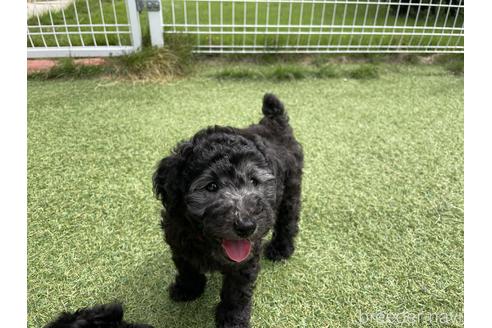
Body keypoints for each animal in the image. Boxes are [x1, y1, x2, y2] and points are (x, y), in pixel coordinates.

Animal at [152, 93, 304, 326]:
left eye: (254, 181)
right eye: (211, 186)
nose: (246, 226)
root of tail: (274, 124)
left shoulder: (246, 256)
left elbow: (237, 289)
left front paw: (233, 318)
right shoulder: (177, 236)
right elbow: (186, 266)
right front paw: (187, 289)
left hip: (291, 189)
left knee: (288, 220)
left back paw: (281, 249)